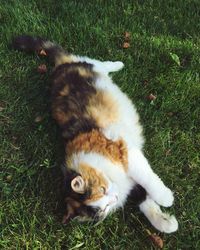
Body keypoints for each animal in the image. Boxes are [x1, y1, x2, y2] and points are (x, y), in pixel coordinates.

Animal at [13, 34, 178, 232]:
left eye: (103, 189)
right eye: (103, 208)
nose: (114, 198)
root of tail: (60, 66)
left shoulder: (123, 149)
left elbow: (147, 177)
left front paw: (165, 197)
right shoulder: (129, 180)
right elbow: (145, 202)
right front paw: (167, 222)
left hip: (91, 65)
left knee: (99, 62)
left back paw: (118, 64)